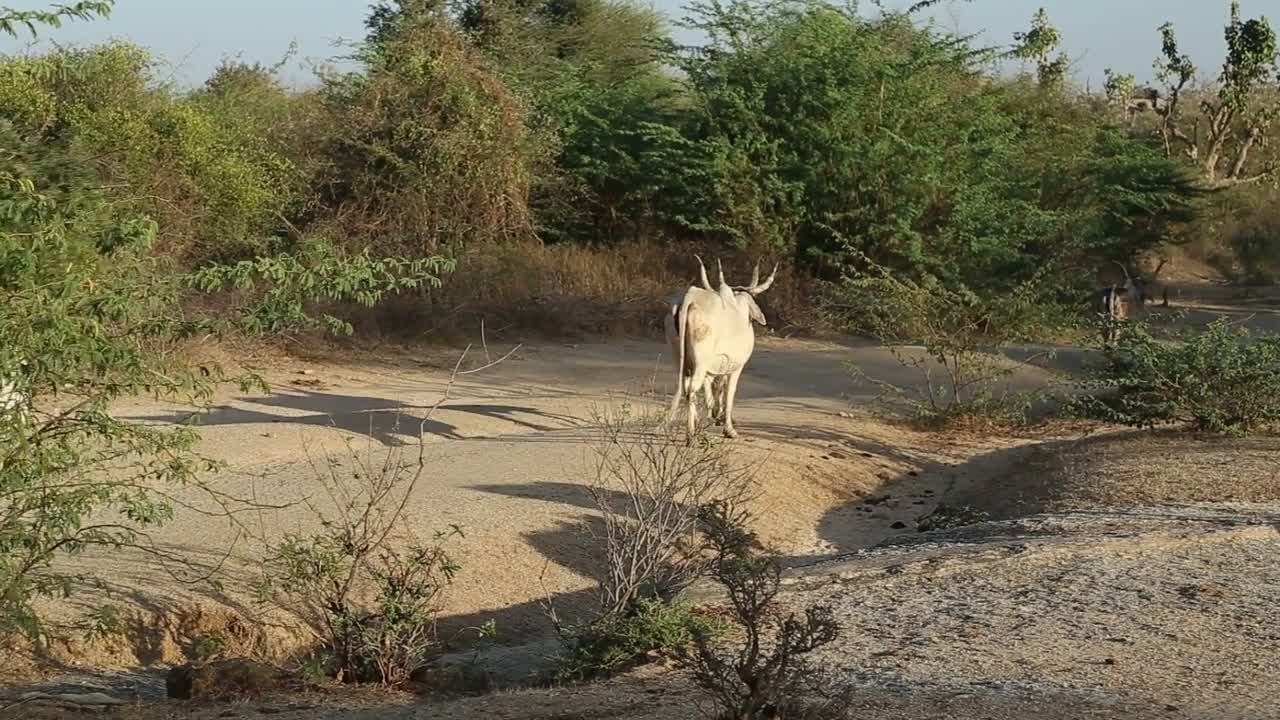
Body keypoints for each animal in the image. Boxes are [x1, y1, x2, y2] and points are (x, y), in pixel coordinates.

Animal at [670, 257, 778, 438]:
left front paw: (716, 416)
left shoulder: (717, 367)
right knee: (692, 388)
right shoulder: (736, 367)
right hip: (701, 362)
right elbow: (729, 394)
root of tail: (690, 299)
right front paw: (729, 428)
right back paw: (691, 432)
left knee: (685, 387)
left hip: (681, 359)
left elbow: (715, 390)